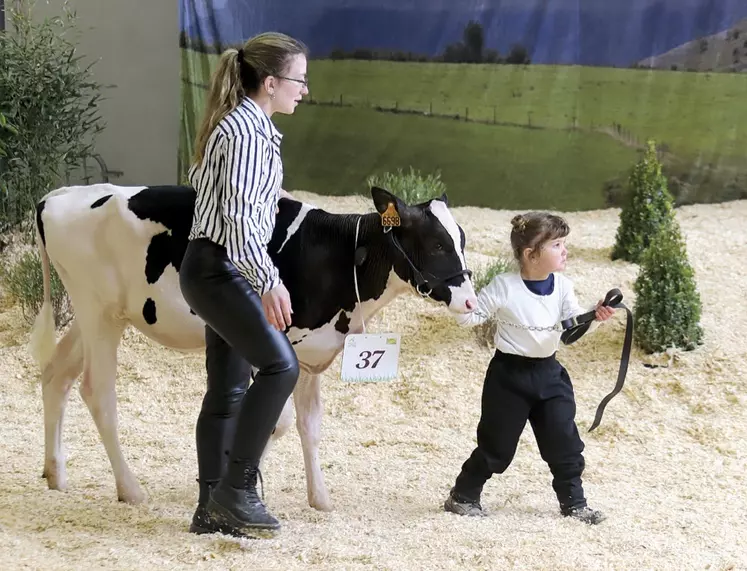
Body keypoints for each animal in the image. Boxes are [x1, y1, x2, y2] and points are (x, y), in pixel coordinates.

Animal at [30, 185, 480, 512]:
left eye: (461, 239)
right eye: (437, 245)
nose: (470, 301)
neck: (338, 255)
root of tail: (57, 196)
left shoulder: (310, 352)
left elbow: (308, 424)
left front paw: (319, 498)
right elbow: (275, 420)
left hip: (98, 315)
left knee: (56, 375)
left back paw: (55, 473)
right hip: (98, 313)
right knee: (97, 391)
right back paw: (130, 489)